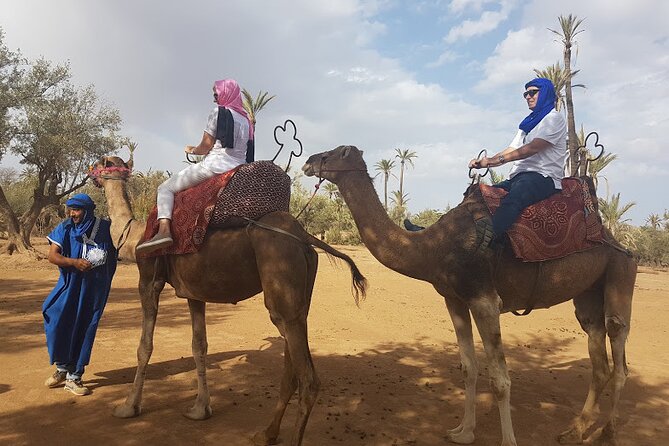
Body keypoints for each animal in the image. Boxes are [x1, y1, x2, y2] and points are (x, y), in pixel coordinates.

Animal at [90, 155, 367, 446]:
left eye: (99, 164)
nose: (90, 174)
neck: (134, 237)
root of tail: (303, 236)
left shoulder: (148, 280)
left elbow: (145, 347)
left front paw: (128, 406)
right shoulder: (193, 292)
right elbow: (199, 346)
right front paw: (200, 409)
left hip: (280, 277)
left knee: (308, 380)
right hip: (300, 296)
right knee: (293, 355)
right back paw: (267, 433)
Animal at [302, 145, 636, 446]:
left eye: (333, 154)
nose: (308, 161)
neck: (432, 247)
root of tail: (618, 242)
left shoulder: (484, 299)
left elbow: (500, 379)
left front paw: (507, 442)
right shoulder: (455, 299)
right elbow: (468, 368)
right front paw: (462, 432)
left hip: (620, 271)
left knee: (619, 350)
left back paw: (607, 433)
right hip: (588, 294)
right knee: (599, 358)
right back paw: (574, 432)